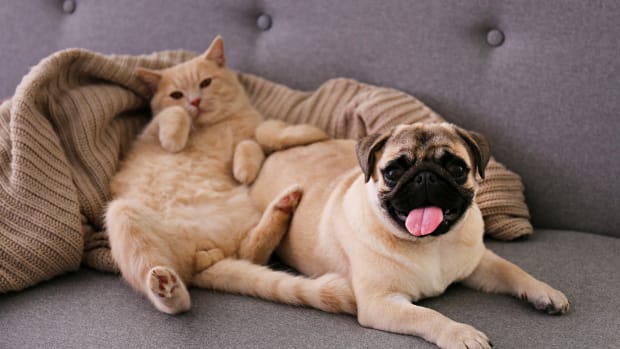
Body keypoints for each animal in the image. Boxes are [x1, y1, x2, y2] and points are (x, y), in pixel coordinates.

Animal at [104, 36, 352, 314]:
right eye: (176, 94)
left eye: (205, 83)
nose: (195, 102)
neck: (216, 126)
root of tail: (200, 249)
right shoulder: (149, 132)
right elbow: (173, 114)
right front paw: (174, 140)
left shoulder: (258, 132)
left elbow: (263, 134)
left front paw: (247, 165)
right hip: (121, 213)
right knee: (171, 289)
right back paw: (166, 286)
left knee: (249, 254)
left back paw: (282, 207)